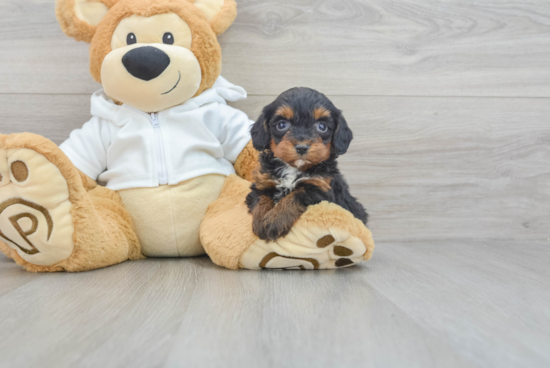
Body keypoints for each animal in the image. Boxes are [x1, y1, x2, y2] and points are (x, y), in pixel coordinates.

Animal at [247, 86, 368, 242]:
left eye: (322, 126)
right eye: (281, 125)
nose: (302, 147)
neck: (293, 168)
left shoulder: (321, 189)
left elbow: (295, 195)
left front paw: (274, 221)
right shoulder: (262, 182)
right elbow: (260, 198)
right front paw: (261, 220)